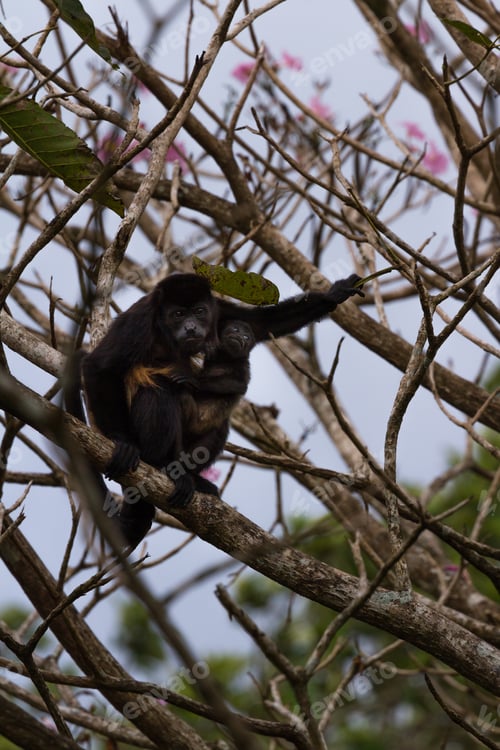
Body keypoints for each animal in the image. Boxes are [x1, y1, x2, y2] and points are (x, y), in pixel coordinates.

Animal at [66, 272, 363, 548]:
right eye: (178, 314)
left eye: (199, 311)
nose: (191, 327)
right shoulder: (140, 321)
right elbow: (98, 365)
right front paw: (122, 442)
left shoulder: (217, 308)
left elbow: (260, 323)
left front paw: (335, 293)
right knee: (157, 392)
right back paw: (160, 464)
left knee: (218, 424)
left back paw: (194, 479)